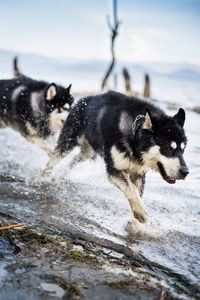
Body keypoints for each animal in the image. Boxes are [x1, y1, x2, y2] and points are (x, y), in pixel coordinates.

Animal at [44, 91, 189, 225]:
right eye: (169, 148)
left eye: (183, 149)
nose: (185, 172)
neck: (133, 134)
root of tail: (85, 99)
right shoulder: (114, 170)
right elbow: (132, 190)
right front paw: (141, 213)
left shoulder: (138, 173)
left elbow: (137, 193)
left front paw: (136, 224)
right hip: (68, 143)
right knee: (54, 158)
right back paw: (44, 175)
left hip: (88, 152)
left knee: (74, 161)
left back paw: (61, 174)